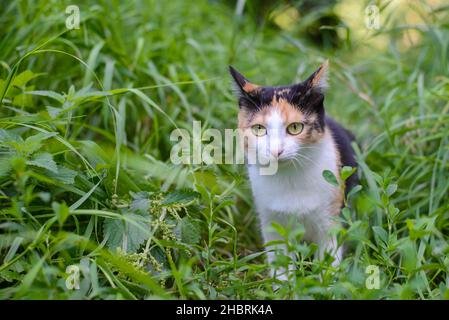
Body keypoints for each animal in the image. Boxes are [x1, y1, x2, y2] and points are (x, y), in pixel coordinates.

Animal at [229, 60, 356, 280]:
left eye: (295, 128)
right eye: (259, 129)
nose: (276, 151)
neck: (289, 178)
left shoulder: (330, 221)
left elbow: (327, 264)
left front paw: (325, 284)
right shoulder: (271, 222)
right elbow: (280, 264)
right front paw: (283, 285)